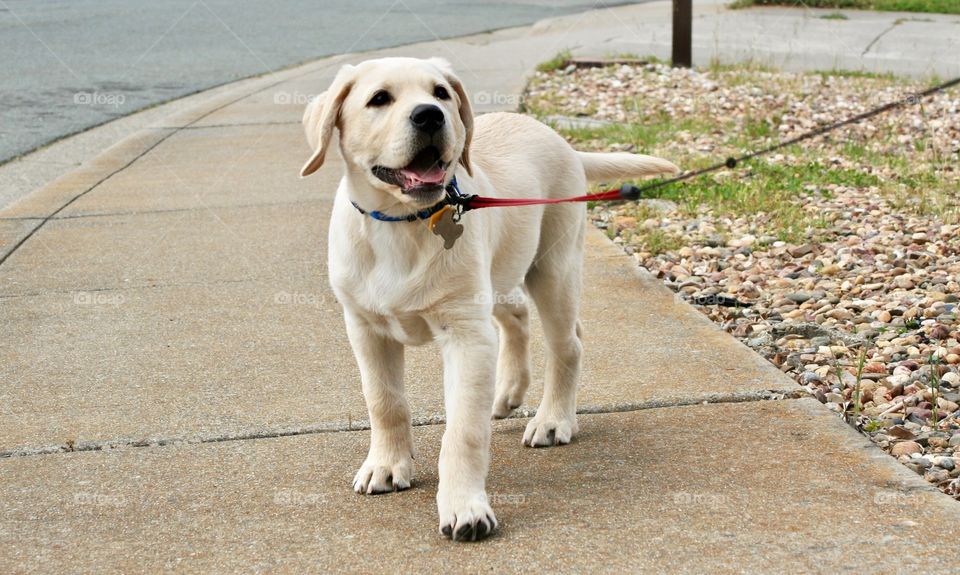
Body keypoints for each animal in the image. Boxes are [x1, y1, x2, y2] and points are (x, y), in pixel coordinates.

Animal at [298, 57, 676, 540]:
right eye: (379, 98)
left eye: (440, 93)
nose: (430, 116)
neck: (405, 223)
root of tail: (562, 141)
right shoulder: (365, 328)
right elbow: (384, 401)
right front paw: (386, 465)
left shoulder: (467, 335)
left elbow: (463, 430)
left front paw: (465, 507)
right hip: (497, 275)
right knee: (516, 314)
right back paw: (508, 392)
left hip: (552, 269)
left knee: (568, 344)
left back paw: (553, 420)